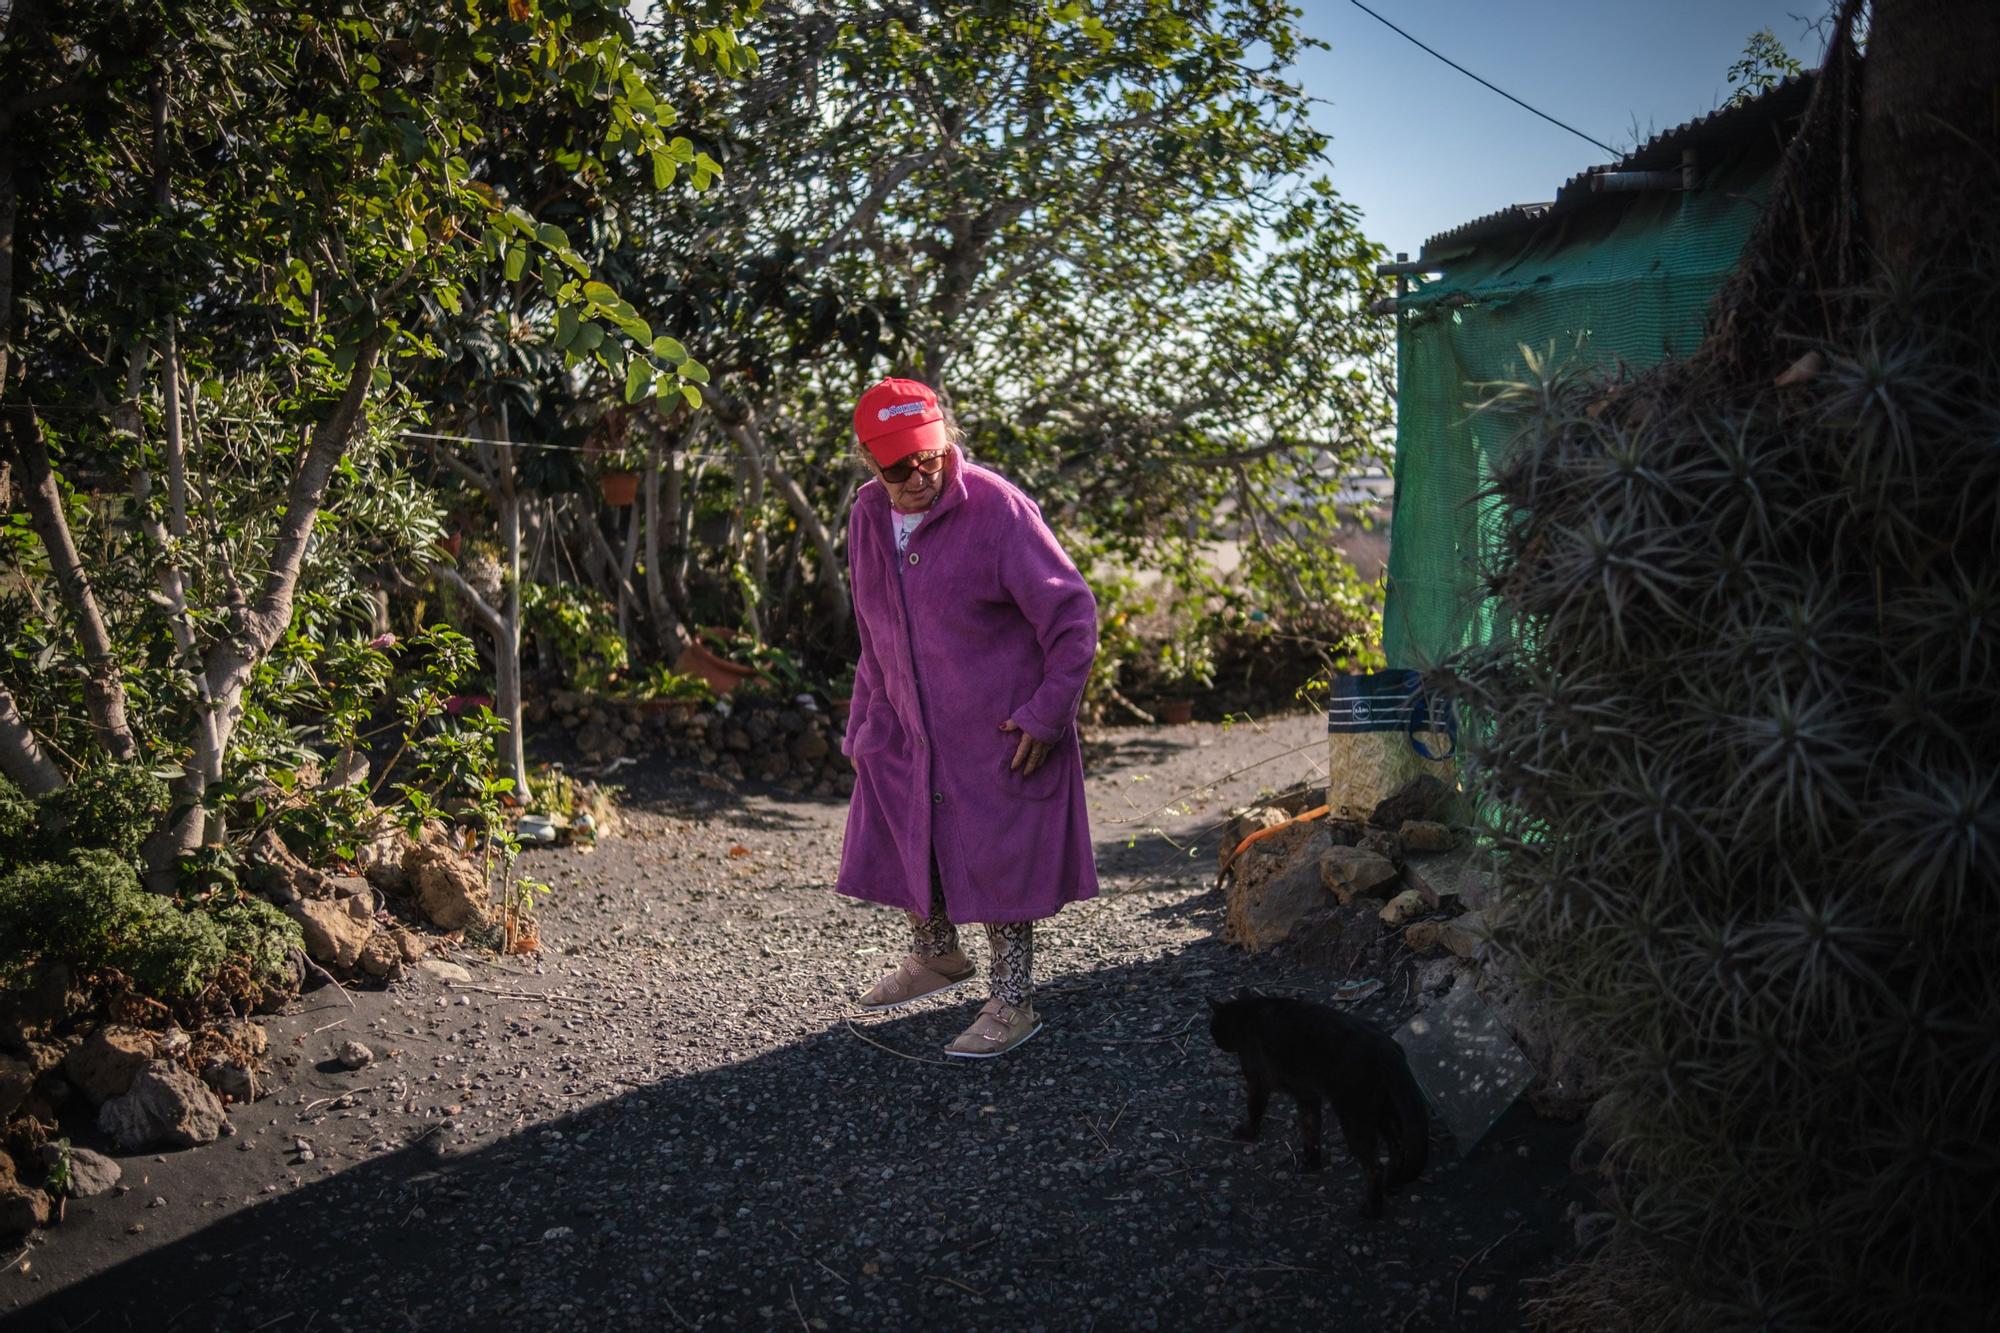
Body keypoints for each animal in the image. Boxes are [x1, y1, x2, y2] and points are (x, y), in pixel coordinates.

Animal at [1208, 984, 1432, 1216]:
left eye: (1213, 1029)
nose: (1216, 1042)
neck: (1247, 1014)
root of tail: (1387, 1047)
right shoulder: (1307, 1095)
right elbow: (1310, 1127)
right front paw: (1312, 1160)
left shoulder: (1258, 1082)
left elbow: (1254, 1110)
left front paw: (1247, 1132)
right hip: (1381, 1110)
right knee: (1397, 1146)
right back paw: (1392, 1184)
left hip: (1354, 1115)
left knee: (1373, 1166)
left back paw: (1371, 1210)